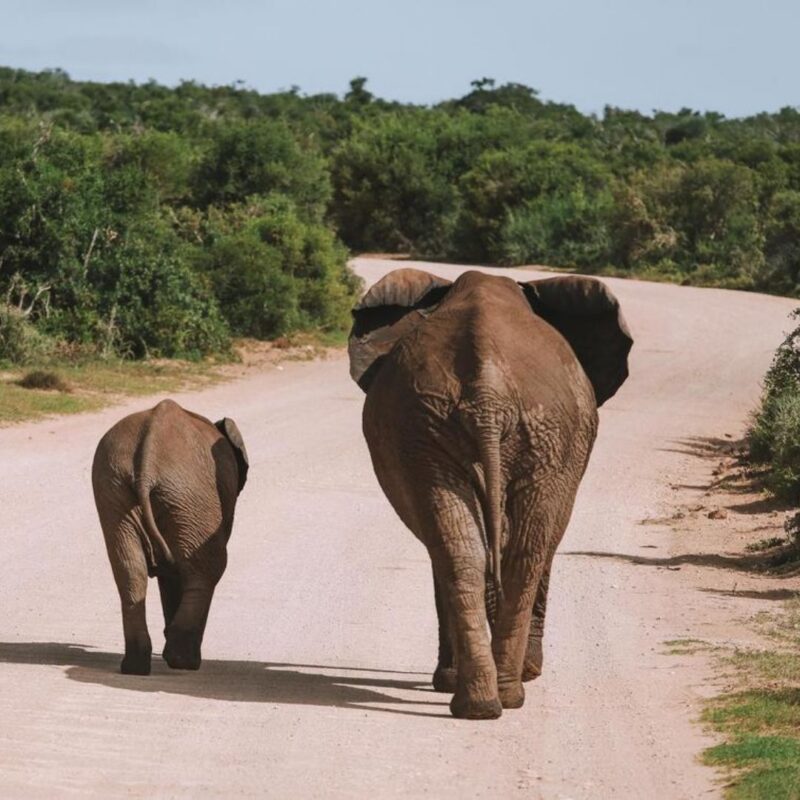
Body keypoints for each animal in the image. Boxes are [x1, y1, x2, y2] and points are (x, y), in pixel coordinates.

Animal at [92, 398, 249, 675]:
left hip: (114, 487)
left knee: (130, 570)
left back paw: (135, 666)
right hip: (191, 496)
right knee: (208, 570)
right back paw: (184, 662)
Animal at [348, 268, 632, 719]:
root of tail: (488, 395)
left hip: (454, 431)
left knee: (473, 553)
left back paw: (482, 702)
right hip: (503, 432)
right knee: (517, 552)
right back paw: (502, 694)